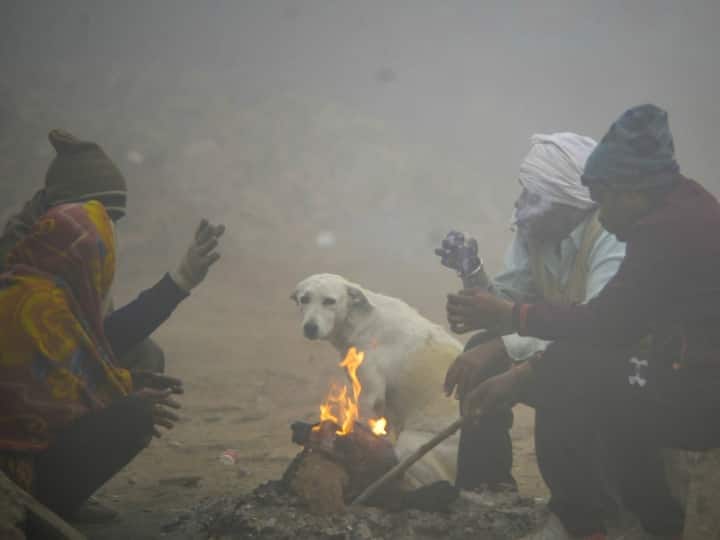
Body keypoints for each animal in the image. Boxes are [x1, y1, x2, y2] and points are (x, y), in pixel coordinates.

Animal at [292, 273, 462, 487]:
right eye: (304, 299)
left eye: (329, 301)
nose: (310, 328)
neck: (362, 320)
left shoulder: (369, 395)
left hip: (411, 445)